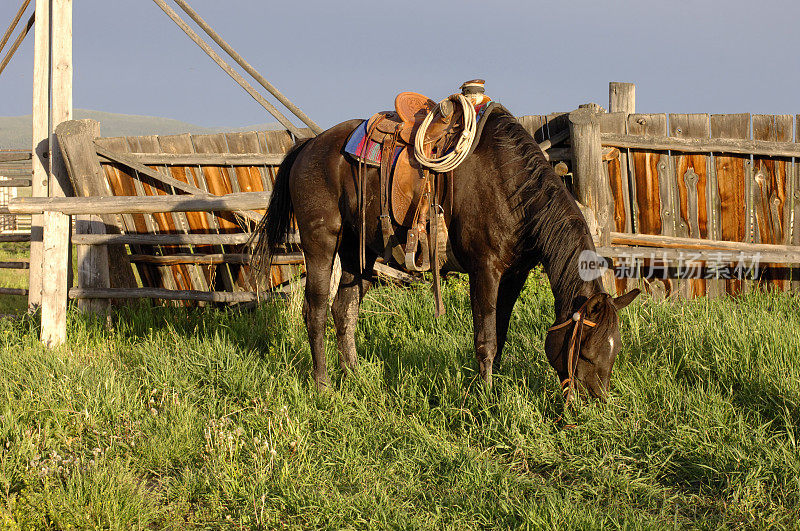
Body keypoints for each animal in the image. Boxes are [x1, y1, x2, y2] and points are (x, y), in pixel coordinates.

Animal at [253, 103, 640, 400]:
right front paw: (485, 397)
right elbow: (485, 337)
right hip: (321, 240)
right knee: (316, 310)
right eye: (586, 351)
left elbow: (500, 334)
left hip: (356, 249)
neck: (511, 186)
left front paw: (489, 387)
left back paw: (355, 378)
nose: (595, 401)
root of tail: (309, 146)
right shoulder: (485, 269)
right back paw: (323, 387)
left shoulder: (514, 274)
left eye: (615, 349)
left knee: (344, 310)